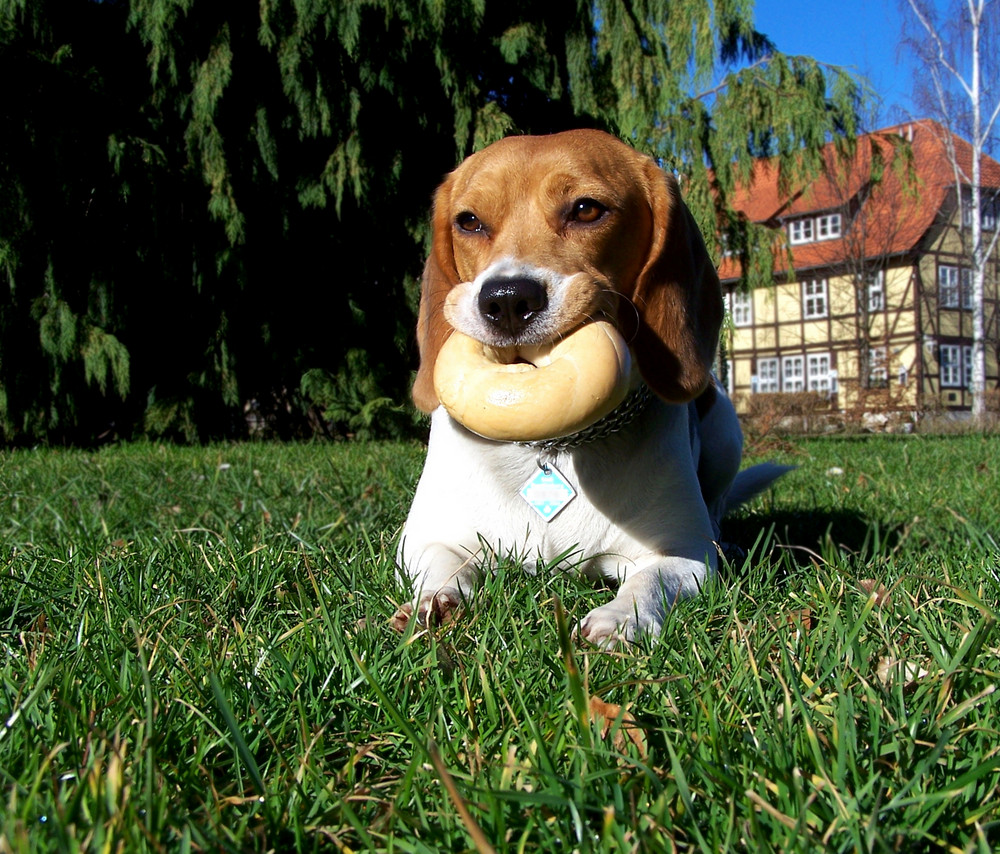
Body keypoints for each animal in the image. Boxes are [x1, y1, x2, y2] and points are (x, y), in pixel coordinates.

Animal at [394, 130, 784, 644]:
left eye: (585, 209)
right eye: (469, 221)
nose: (507, 299)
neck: (553, 443)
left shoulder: (682, 554)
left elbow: (651, 581)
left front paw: (621, 618)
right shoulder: (425, 538)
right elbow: (446, 567)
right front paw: (433, 603)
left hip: (725, 431)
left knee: (717, 501)